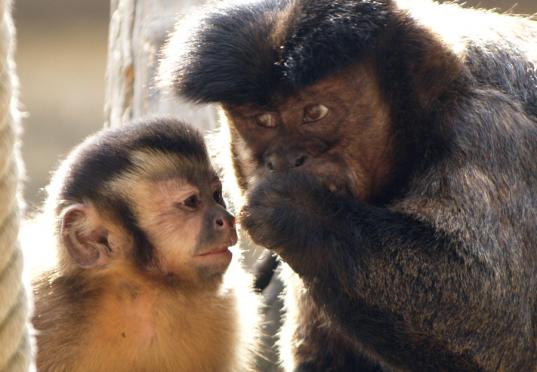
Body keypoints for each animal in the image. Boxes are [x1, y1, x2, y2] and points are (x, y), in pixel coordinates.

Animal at [159, 0, 536, 370]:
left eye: (314, 113)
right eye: (264, 120)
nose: (282, 159)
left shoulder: (490, 125)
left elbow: (502, 329)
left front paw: (298, 211)